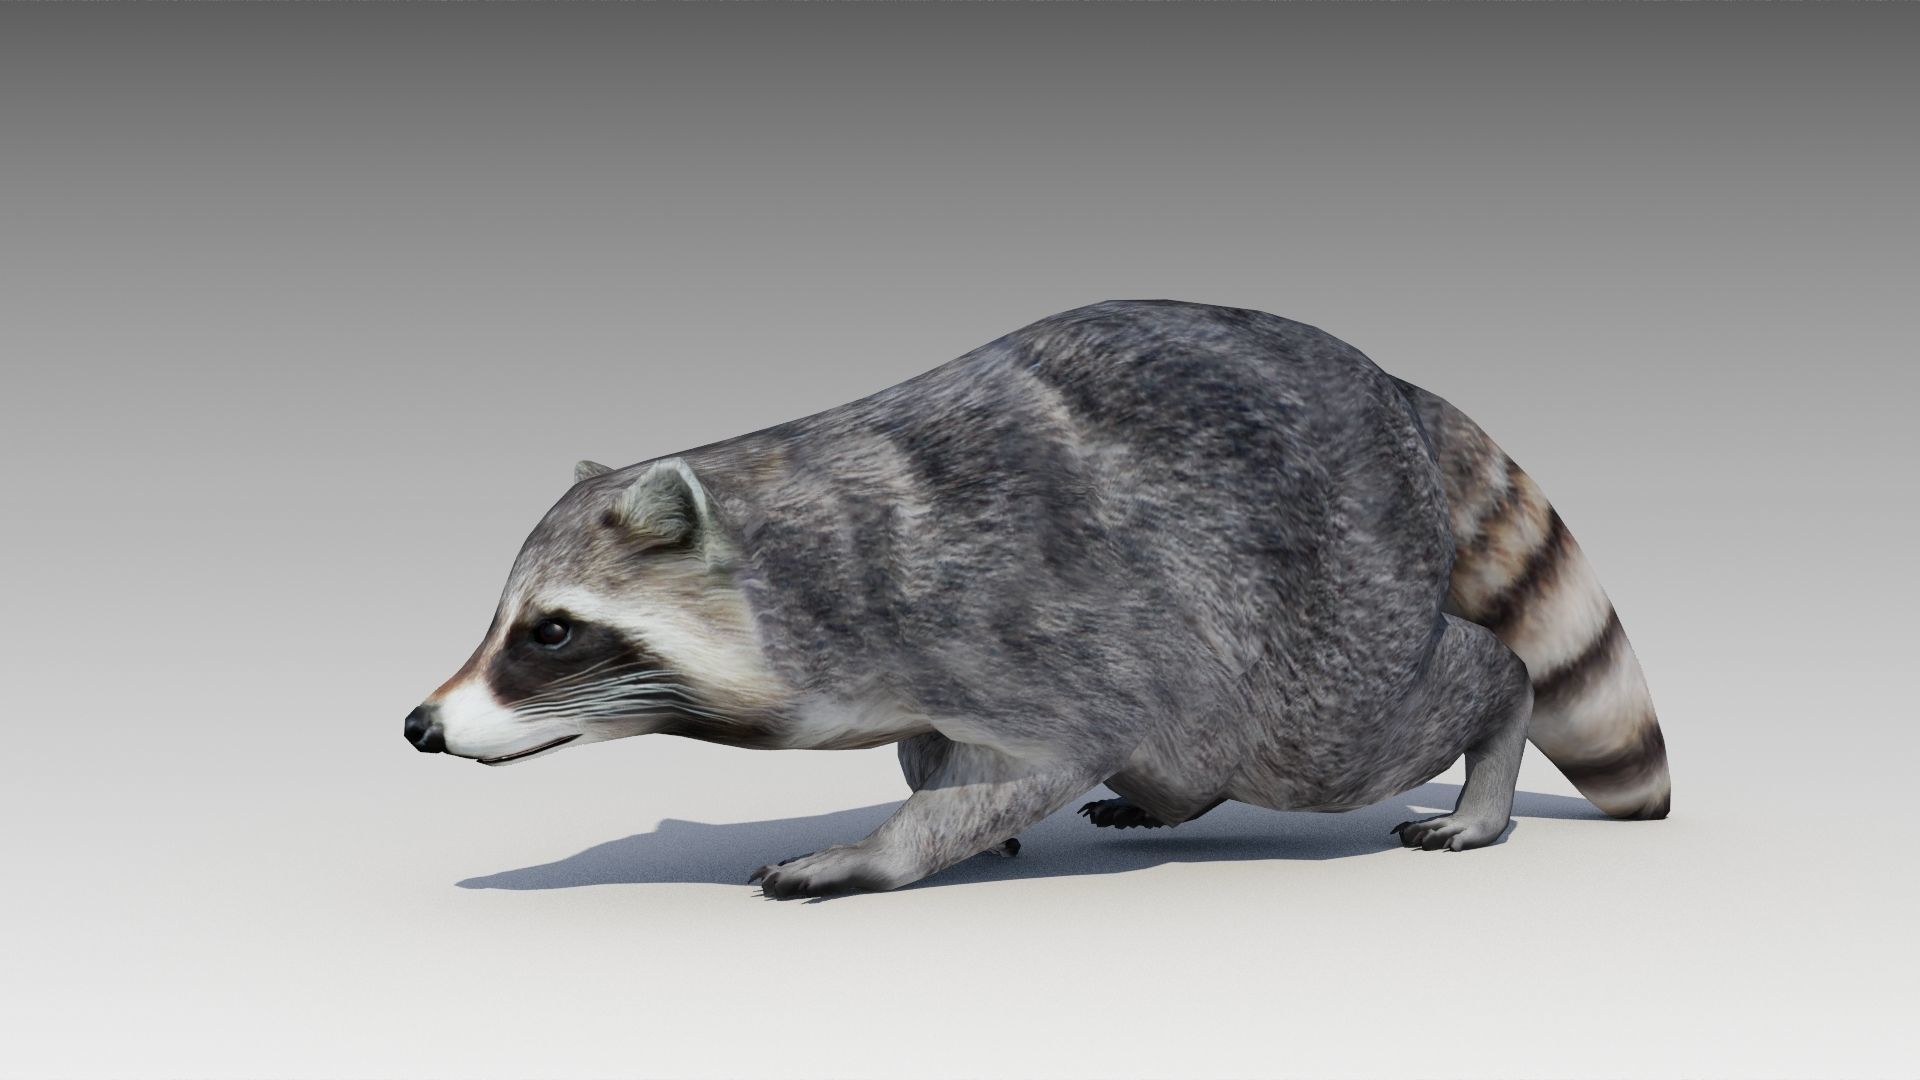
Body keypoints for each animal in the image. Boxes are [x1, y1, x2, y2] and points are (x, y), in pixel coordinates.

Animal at [403, 300, 1670, 898]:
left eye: (551, 632)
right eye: (509, 619)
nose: (419, 725)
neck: (803, 552)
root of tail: (1394, 390)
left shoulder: (1023, 625)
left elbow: (1037, 756)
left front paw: (889, 849)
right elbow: (936, 754)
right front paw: (936, 797)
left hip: (1322, 595)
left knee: (1363, 720)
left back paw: (1491, 744)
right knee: (1195, 749)